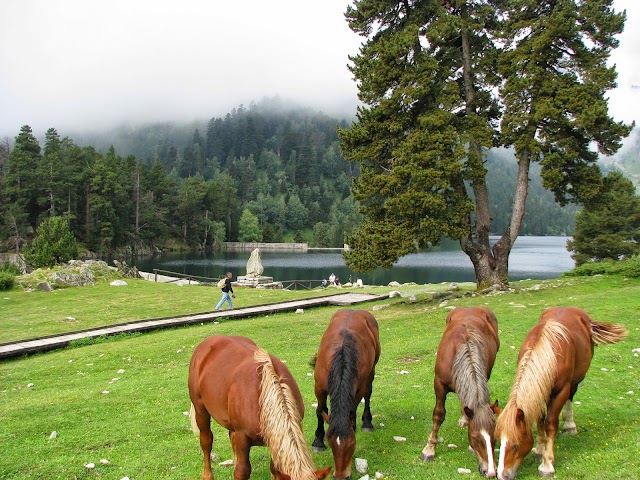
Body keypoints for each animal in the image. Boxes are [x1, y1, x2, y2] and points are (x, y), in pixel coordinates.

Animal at [189, 336, 332, 480]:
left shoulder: (275, 439)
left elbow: (274, 468)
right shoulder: (242, 437)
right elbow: (242, 471)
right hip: (200, 409)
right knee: (206, 441)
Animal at [310, 312, 380, 480]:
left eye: (352, 444)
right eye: (330, 442)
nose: (341, 476)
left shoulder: (357, 390)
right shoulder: (319, 387)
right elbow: (320, 411)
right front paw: (318, 441)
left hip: (371, 371)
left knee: (368, 394)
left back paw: (367, 422)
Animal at [422, 306, 502, 478]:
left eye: (495, 438)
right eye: (475, 437)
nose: (491, 472)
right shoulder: (439, 384)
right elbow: (438, 415)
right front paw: (429, 449)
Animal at [496, 308, 632, 480]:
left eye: (515, 445)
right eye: (499, 441)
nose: (501, 475)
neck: (547, 355)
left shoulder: (560, 392)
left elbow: (550, 424)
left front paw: (547, 465)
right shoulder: (540, 392)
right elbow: (540, 421)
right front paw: (539, 450)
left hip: (575, 381)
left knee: (571, 397)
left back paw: (569, 425)